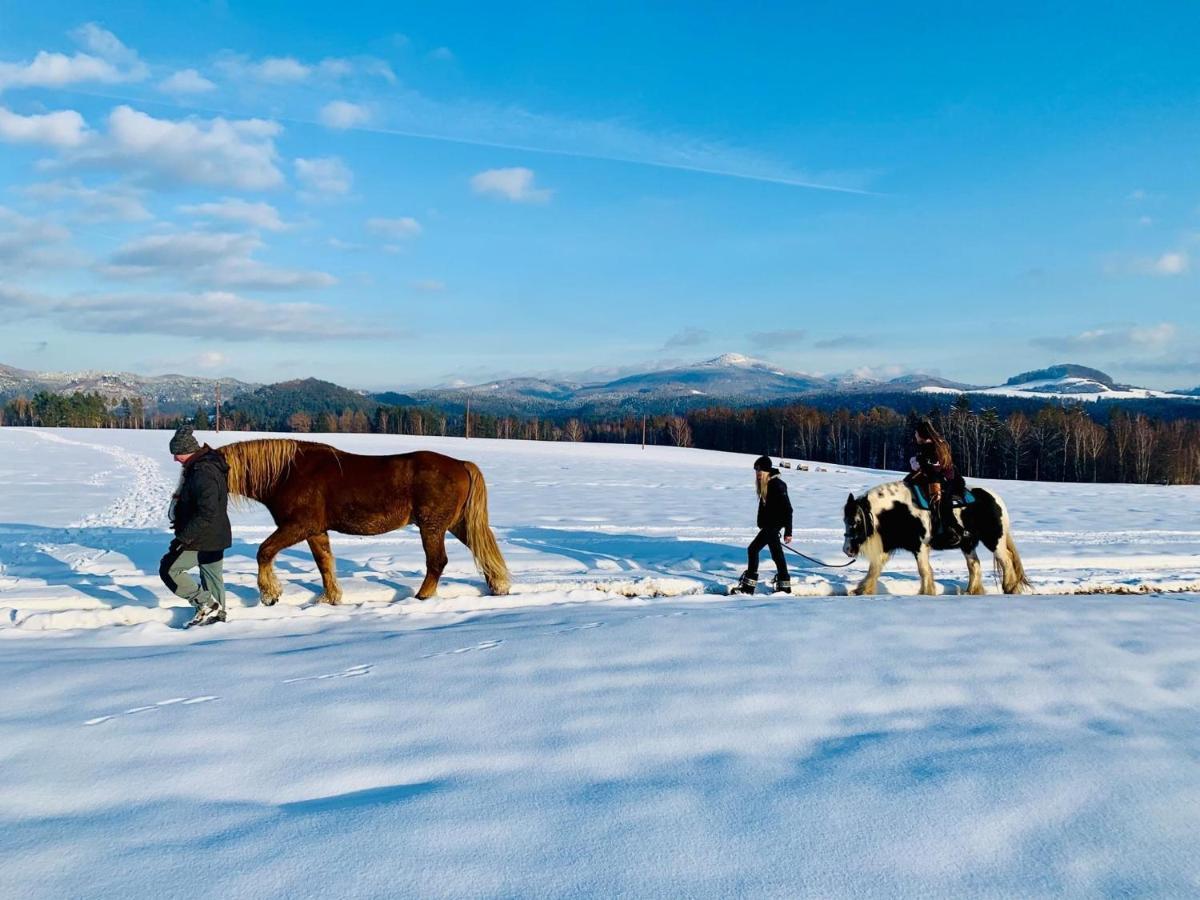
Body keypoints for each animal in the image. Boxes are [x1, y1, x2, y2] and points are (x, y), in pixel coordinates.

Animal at [218, 439, 508, 602]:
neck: (287, 473)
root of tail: (461, 464)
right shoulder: (315, 531)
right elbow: (324, 564)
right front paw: (330, 598)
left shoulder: (298, 526)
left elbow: (264, 551)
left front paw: (270, 594)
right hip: (457, 524)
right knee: (482, 549)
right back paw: (499, 586)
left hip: (432, 526)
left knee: (437, 562)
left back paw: (422, 596)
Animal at [844, 482, 1032, 595]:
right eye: (846, 520)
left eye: (856, 521)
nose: (847, 550)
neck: (900, 509)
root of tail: (996, 499)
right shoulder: (889, 546)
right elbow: (874, 569)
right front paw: (861, 590)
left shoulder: (920, 546)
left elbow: (924, 570)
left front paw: (926, 592)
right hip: (967, 544)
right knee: (975, 565)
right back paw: (970, 591)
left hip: (994, 541)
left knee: (1006, 561)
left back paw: (1009, 588)